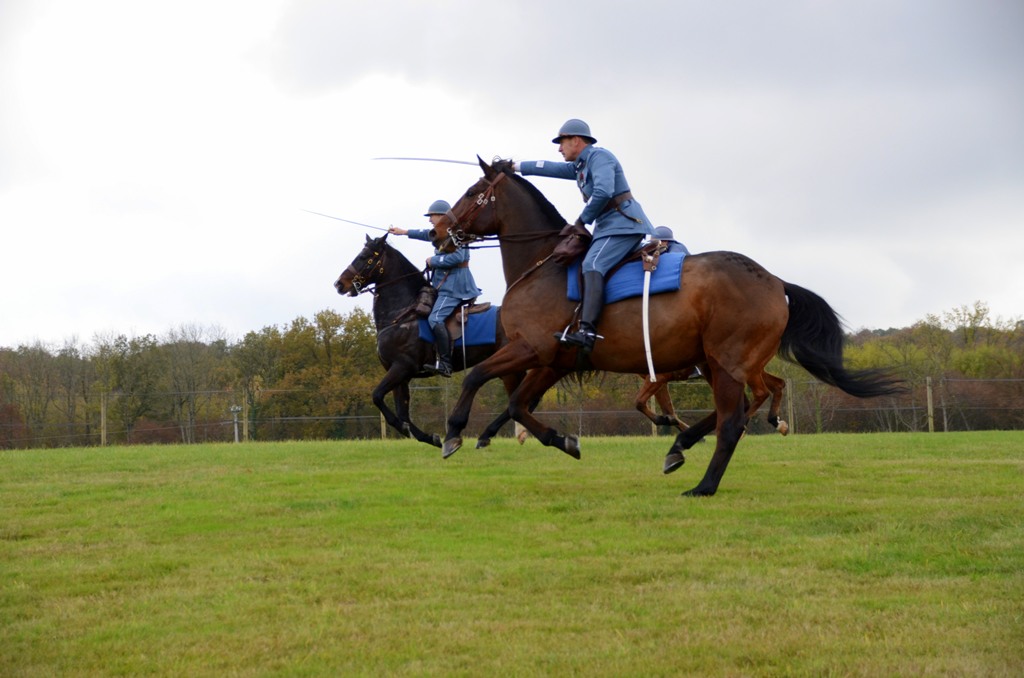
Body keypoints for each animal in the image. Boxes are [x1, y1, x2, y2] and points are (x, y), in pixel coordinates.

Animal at [436, 160, 901, 499]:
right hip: (716, 363)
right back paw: (680, 447)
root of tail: (774, 280)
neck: (544, 264)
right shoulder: (553, 361)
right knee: (744, 405)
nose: (440, 233)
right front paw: (564, 441)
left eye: (473, 193)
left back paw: (704, 485)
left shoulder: (531, 349)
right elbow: (518, 405)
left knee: (734, 421)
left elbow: (478, 378)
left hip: (727, 363)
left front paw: (454, 433)